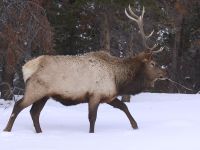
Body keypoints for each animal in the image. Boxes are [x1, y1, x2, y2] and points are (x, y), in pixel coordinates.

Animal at [3, 5, 166, 133]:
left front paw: (135, 126)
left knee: (34, 113)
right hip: (35, 90)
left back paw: (39, 132)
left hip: (44, 95)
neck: (118, 80)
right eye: (153, 63)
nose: (165, 72)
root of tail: (26, 68)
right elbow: (92, 118)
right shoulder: (95, 95)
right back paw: (7, 129)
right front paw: (91, 134)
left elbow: (124, 106)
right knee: (19, 105)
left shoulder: (108, 96)